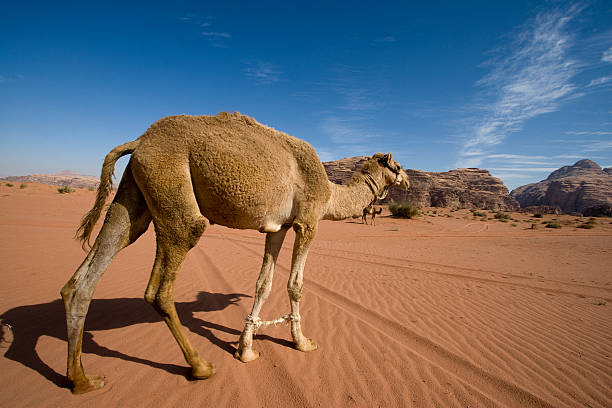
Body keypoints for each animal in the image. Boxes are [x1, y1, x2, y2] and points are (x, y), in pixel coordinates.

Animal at [61, 111, 412, 392]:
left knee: (88, 274)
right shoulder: (307, 222)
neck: (330, 193)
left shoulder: (278, 227)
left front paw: (246, 349)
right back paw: (200, 366)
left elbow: (263, 284)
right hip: (171, 189)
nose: (408, 180)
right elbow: (295, 285)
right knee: (161, 284)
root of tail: (138, 142)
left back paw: (81, 379)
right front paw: (302, 342)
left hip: (135, 192)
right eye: (397, 165)